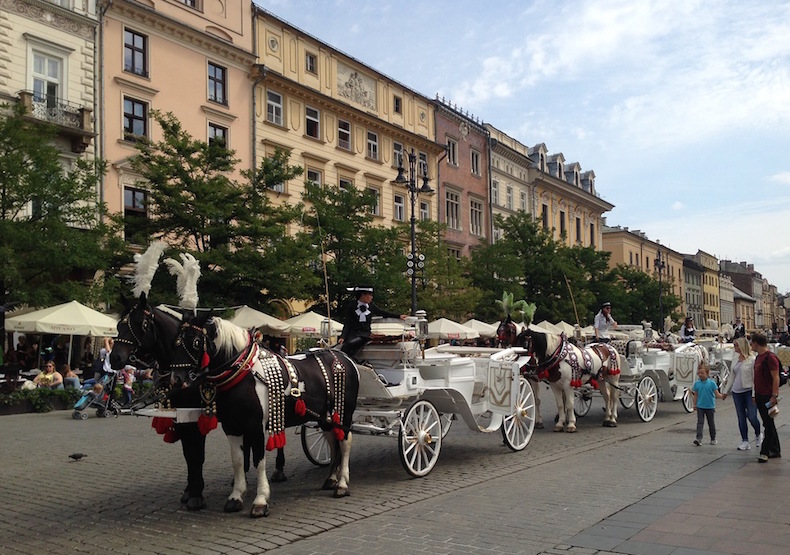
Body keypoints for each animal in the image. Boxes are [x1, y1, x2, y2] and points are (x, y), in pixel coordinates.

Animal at [170, 310, 362, 520]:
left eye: (196, 342)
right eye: (175, 342)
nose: (176, 379)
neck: (243, 374)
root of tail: (343, 355)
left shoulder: (255, 426)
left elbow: (258, 461)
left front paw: (260, 500)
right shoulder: (231, 426)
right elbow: (237, 460)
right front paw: (236, 497)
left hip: (344, 413)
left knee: (345, 442)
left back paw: (342, 484)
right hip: (325, 416)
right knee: (333, 441)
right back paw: (331, 479)